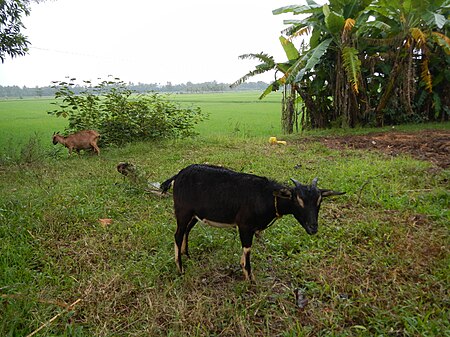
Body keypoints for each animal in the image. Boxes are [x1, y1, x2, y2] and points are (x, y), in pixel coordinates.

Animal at [162, 164, 344, 280]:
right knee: (178, 234)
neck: (266, 197)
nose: (313, 228)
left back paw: (187, 255)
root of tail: (177, 176)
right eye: (297, 200)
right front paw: (250, 278)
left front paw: (244, 269)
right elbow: (247, 250)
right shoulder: (244, 225)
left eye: (319, 201)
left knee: (186, 231)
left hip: (194, 214)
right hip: (183, 211)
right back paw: (180, 268)